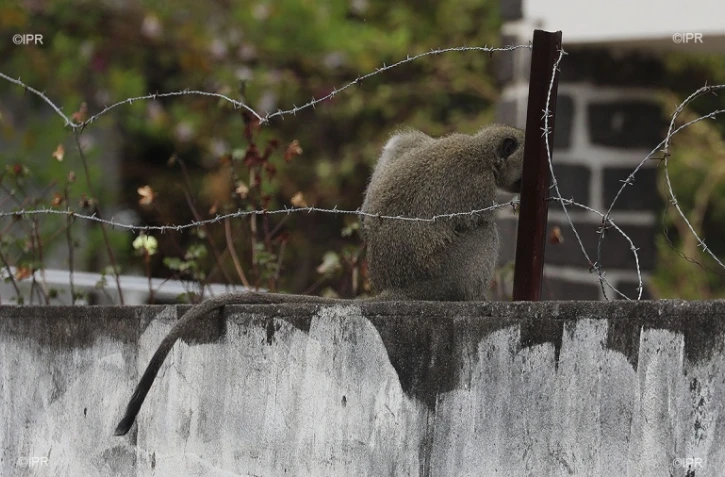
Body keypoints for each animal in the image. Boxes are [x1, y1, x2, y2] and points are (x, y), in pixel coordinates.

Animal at [114, 123, 524, 436]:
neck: (479, 150)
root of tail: (396, 285)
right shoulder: (479, 191)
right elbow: (481, 220)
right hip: (441, 279)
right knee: (483, 233)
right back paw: (472, 297)